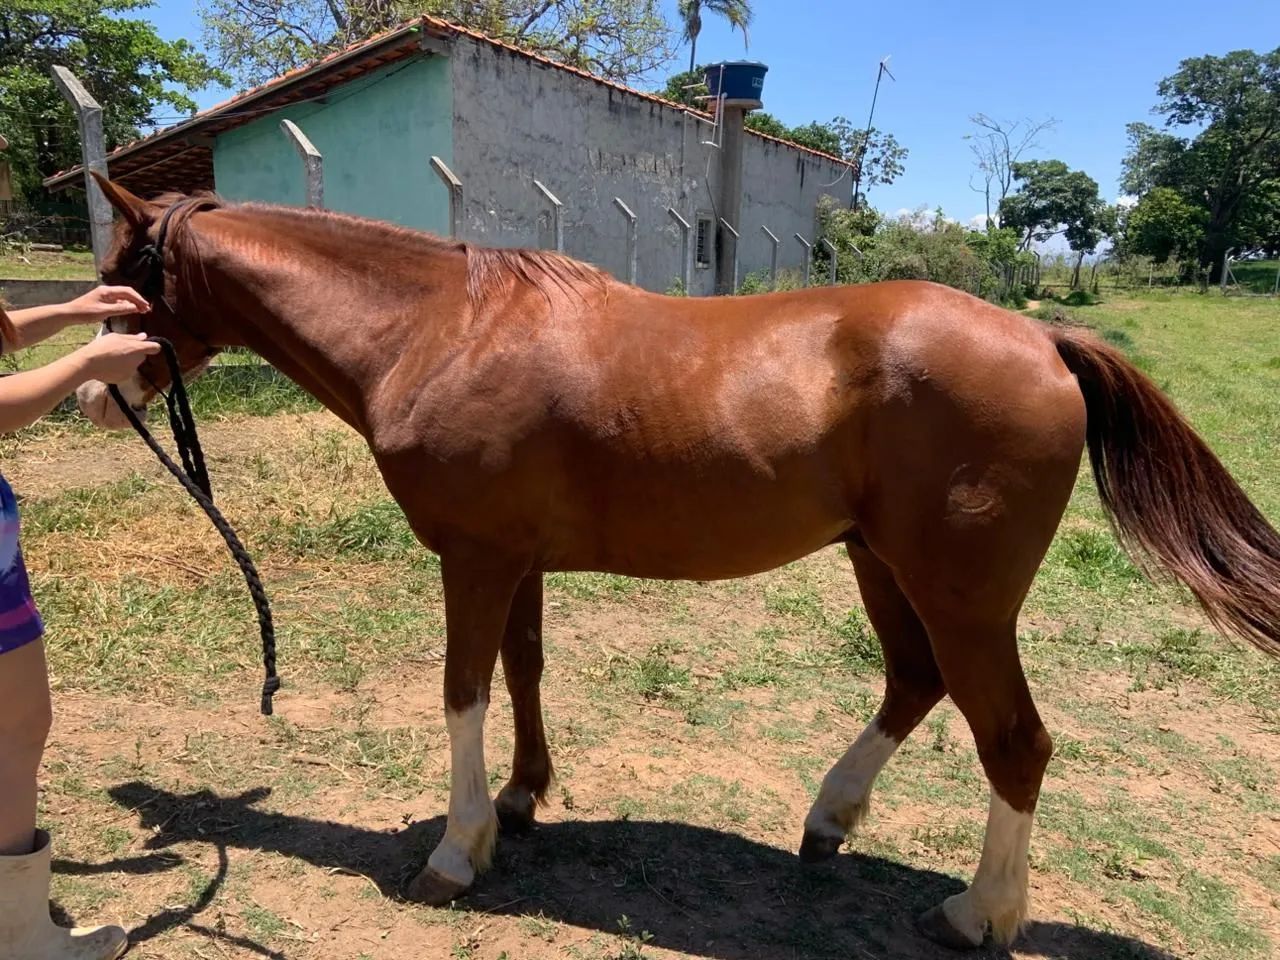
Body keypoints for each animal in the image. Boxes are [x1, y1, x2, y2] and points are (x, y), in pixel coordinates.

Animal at [77, 174, 1280, 950]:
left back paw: (978, 914)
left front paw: (458, 852)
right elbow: (521, 673)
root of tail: (1044, 341)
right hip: (884, 568)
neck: (437, 331)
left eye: (122, 278)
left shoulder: (473, 558)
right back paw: (828, 821)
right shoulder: (515, 560)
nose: (94, 394)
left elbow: (462, 688)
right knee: (913, 682)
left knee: (1014, 743)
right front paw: (521, 799)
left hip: (962, 596)